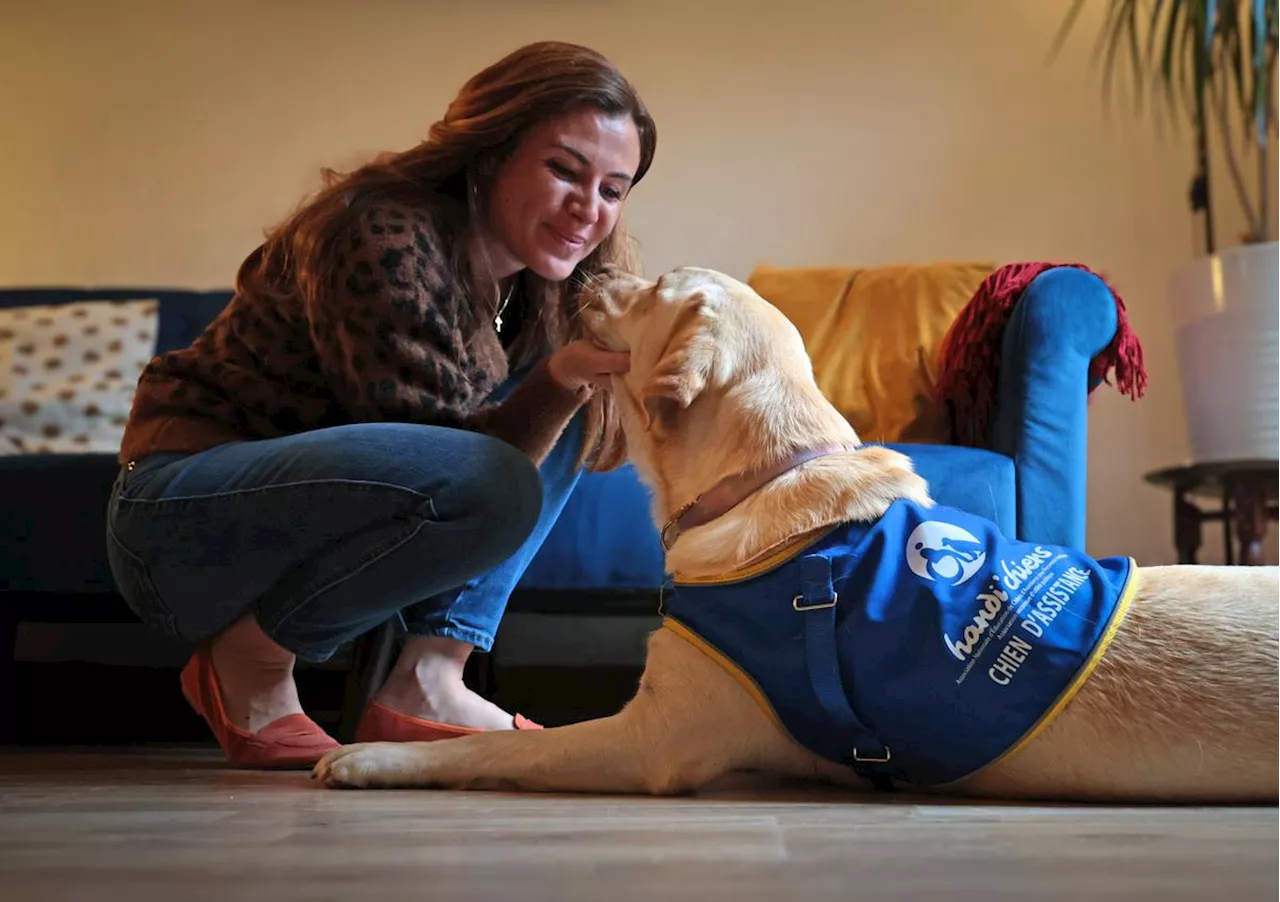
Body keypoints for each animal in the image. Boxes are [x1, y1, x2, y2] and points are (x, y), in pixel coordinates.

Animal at [312, 263, 1280, 798]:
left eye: (654, 288)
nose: (584, 273)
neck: (762, 481)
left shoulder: (649, 739)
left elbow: (495, 746)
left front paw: (369, 758)